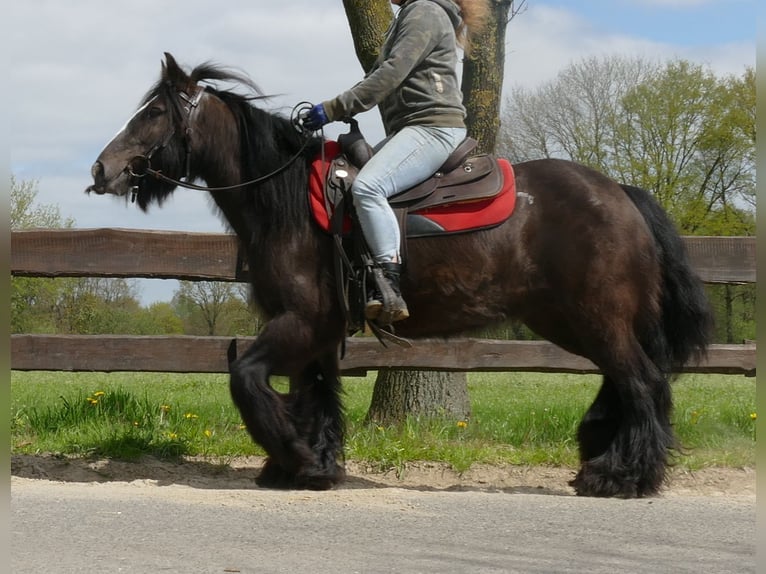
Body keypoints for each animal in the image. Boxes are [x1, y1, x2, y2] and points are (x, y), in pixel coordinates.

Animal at [85, 55, 712, 500]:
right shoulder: (314, 332)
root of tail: (621, 194)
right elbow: (314, 394)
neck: (289, 201)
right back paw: (601, 458)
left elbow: (246, 379)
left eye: (155, 113)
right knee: (627, 381)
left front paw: (295, 456)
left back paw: (624, 476)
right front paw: (312, 464)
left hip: (594, 319)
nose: (101, 168)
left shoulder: (298, 322)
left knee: (643, 383)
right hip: (575, 321)